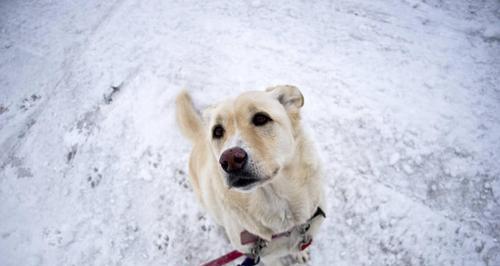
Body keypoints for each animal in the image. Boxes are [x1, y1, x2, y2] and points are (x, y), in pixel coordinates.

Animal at [175, 86, 324, 264]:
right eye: (217, 131)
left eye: (261, 118)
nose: (230, 159)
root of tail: (200, 135)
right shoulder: (267, 258)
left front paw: (300, 253)